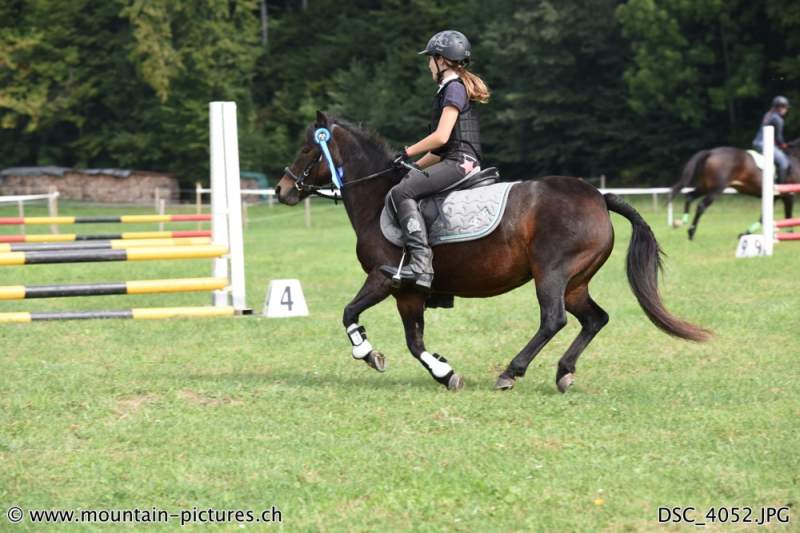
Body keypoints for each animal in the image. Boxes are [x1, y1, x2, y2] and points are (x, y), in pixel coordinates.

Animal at [276, 112, 712, 392]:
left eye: (307, 150)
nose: (282, 190)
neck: (378, 196)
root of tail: (599, 197)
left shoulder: (386, 278)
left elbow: (350, 313)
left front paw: (368, 353)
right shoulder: (410, 292)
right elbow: (414, 342)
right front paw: (444, 372)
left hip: (552, 273)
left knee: (553, 320)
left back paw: (511, 372)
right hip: (576, 282)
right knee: (594, 319)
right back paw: (563, 372)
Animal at [668, 138, 800, 238]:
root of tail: (711, 152)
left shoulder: (774, 198)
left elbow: (764, 218)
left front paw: (744, 234)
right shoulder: (788, 196)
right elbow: (788, 216)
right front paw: (790, 234)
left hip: (705, 187)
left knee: (690, 197)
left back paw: (680, 222)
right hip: (716, 189)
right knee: (701, 205)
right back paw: (691, 231)